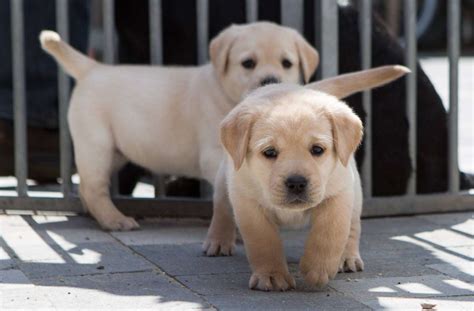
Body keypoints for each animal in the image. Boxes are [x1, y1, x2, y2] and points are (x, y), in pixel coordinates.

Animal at [38, 22, 318, 232]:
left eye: (287, 63)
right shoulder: (215, 155)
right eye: (248, 63)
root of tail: (93, 68)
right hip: (96, 144)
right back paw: (114, 220)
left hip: (115, 152)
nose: (270, 79)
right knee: (92, 187)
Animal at [220, 64, 410, 292]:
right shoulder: (247, 201)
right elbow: (264, 241)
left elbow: (329, 233)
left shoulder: (338, 194)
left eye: (317, 149)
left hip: (355, 194)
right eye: (269, 152)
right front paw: (272, 275)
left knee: (352, 228)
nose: (296, 183)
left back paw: (347, 258)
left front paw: (317, 268)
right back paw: (217, 242)